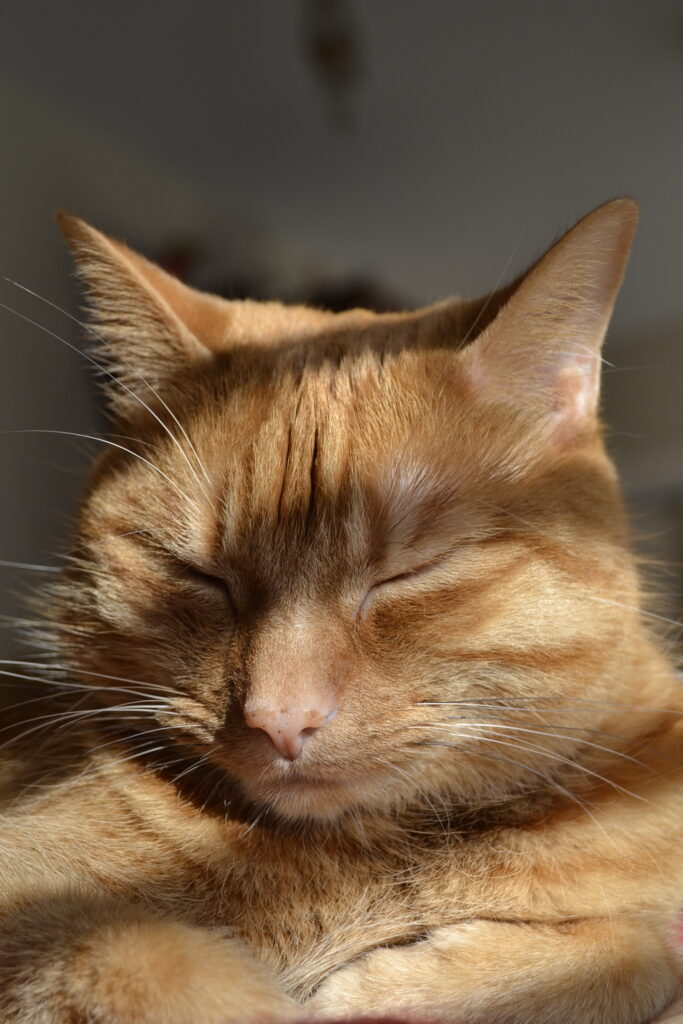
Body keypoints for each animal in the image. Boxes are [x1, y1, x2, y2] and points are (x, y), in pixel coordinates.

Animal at [1, 195, 683, 1019]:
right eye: (199, 575)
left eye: (406, 574)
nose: (280, 719)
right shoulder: (38, 902)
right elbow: (158, 963)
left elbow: (634, 953)